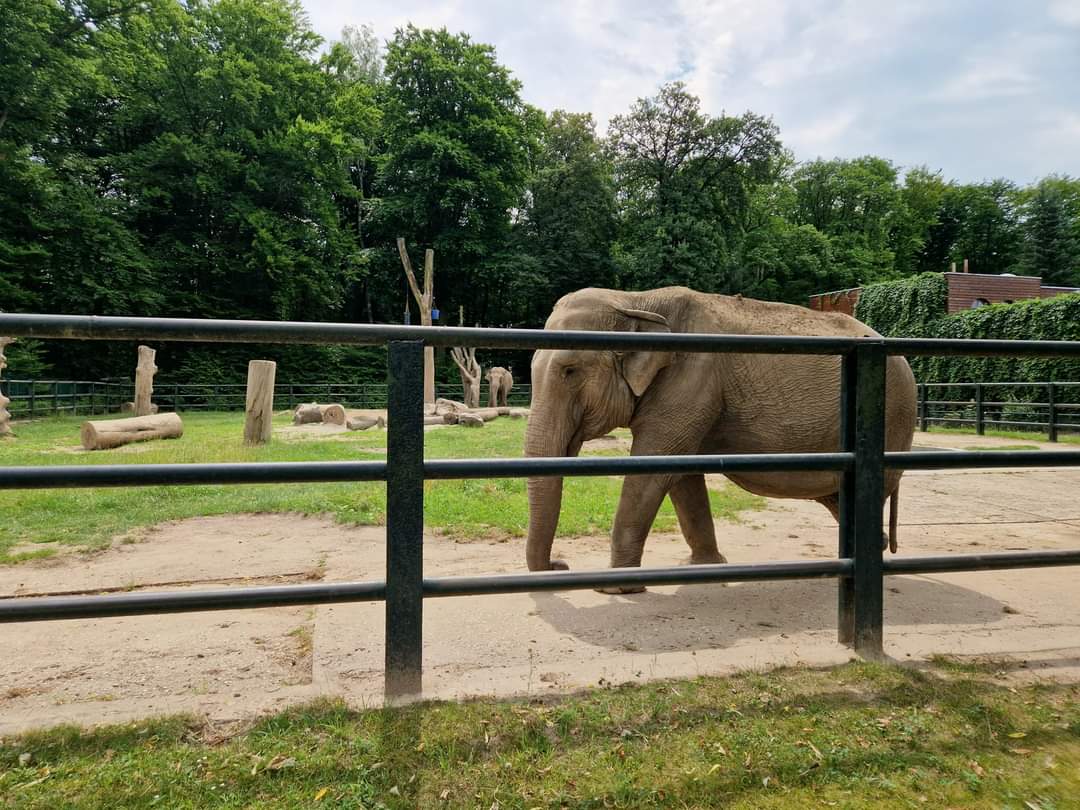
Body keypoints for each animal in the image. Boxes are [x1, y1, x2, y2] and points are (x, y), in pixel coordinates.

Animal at [524, 286, 917, 591]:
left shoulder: (691, 383)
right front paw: (701, 568)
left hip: (891, 416)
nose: (561, 565)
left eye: (570, 371)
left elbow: (654, 468)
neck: (635, 300)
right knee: (841, 500)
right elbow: (682, 474)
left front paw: (615, 588)